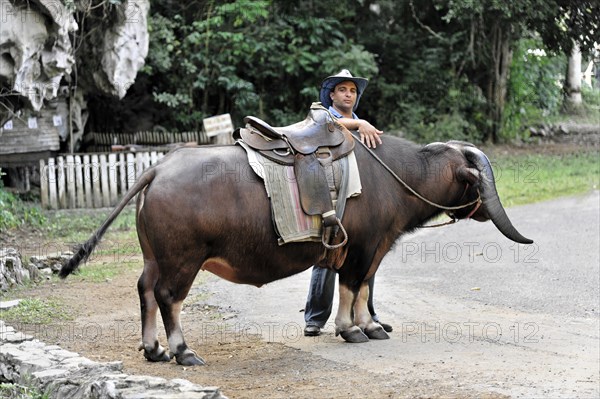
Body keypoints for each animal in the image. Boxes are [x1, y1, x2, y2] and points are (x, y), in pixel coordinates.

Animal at [59, 136, 528, 368]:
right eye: (475, 179)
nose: (484, 208)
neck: (397, 175)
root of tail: (158, 168)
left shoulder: (374, 249)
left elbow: (363, 289)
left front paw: (370, 325)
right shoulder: (361, 249)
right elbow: (352, 288)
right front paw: (351, 329)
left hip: (154, 257)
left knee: (144, 291)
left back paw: (153, 349)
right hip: (182, 260)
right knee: (168, 297)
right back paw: (181, 351)